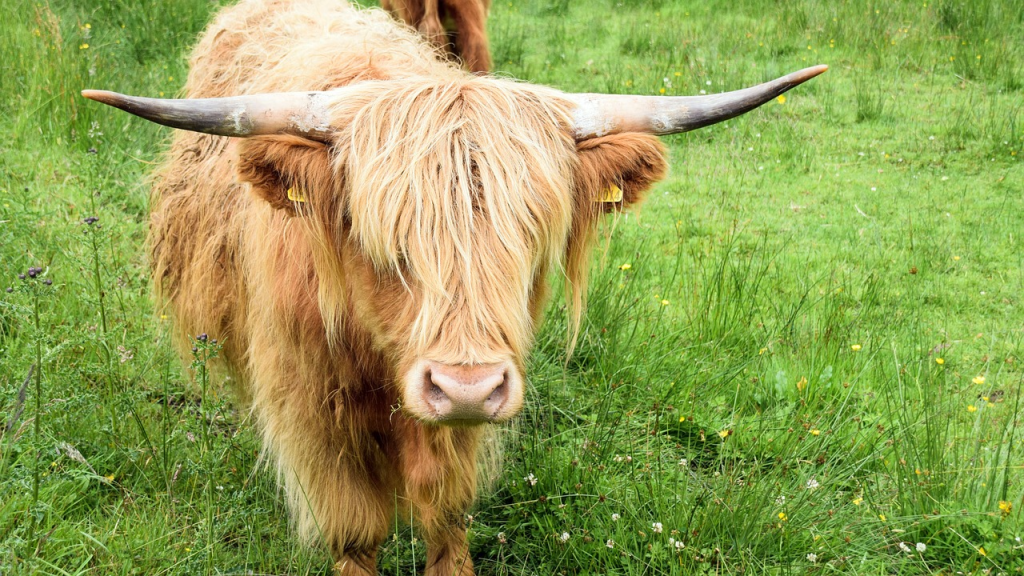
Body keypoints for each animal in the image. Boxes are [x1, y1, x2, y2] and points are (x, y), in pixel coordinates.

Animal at [82, 0, 825, 573]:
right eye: (380, 237)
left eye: (531, 236)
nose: (466, 386)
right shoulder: (314, 413)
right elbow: (356, 530)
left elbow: (447, 517)